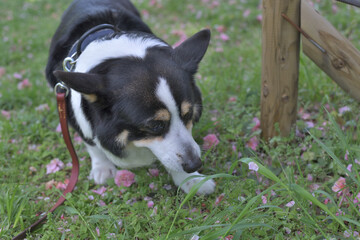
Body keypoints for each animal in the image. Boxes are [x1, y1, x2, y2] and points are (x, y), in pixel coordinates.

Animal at [44, 0, 214, 195]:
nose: (195, 164)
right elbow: (93, 144)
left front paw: (192, 179)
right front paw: (103, 168)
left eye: (188, 115)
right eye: (155, 126)